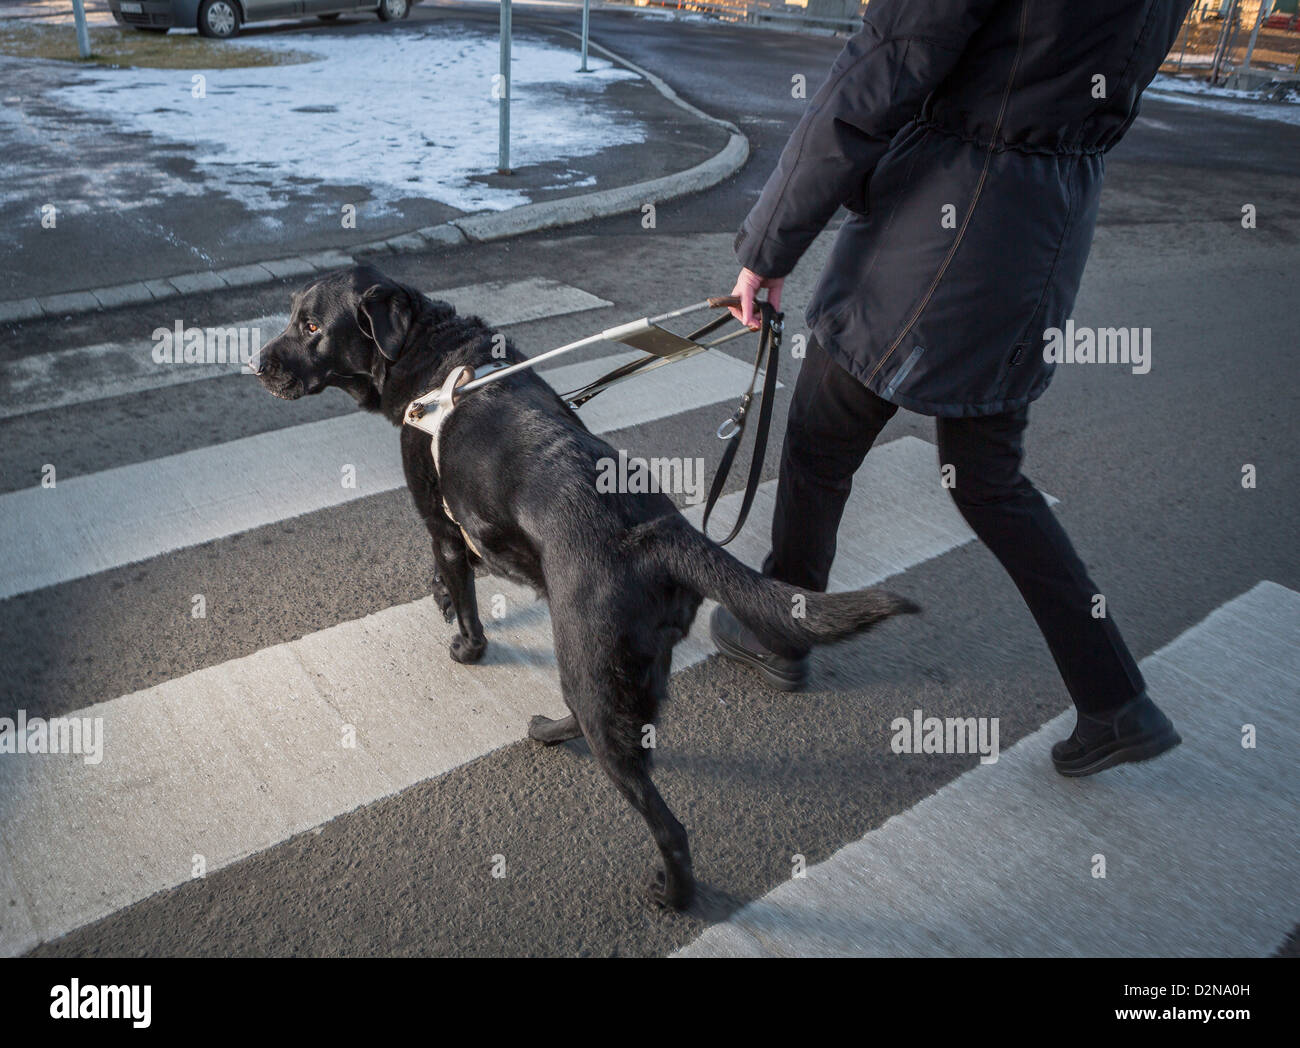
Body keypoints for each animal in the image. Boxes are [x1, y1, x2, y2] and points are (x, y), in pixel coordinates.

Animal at [253, 265, 920, 910]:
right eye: (291, 316)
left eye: (310, 325)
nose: (256, 365)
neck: (433, 355)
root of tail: (659, 535)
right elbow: (454, 577)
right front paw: (441, 597)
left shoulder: (439, 522)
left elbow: (463, 592)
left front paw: (465, 645)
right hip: (624, 666)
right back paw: (550, 733)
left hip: (586, 656)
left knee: (666, 821)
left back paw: (674, 894)